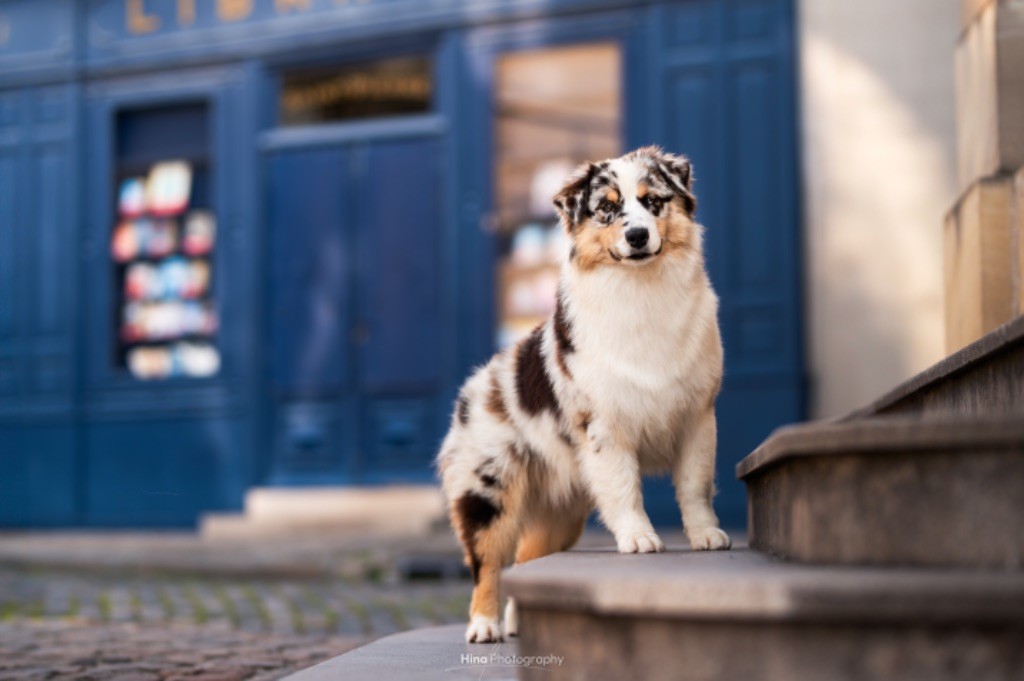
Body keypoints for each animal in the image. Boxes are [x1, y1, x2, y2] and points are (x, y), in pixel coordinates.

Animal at [432, 144, 729, 643]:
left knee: (528, 561)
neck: (640, 290)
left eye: (653, 201)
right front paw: (639, 538)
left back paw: (517, 623)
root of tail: (469, 390)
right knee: (488, 563)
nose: (636, 235)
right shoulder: (604, 425)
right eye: (606, 208)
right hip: (489, 490)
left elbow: (694, 485)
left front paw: (706, 535)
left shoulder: (696, 416)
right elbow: (625, 489)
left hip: (562, 512)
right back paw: (485, 626)